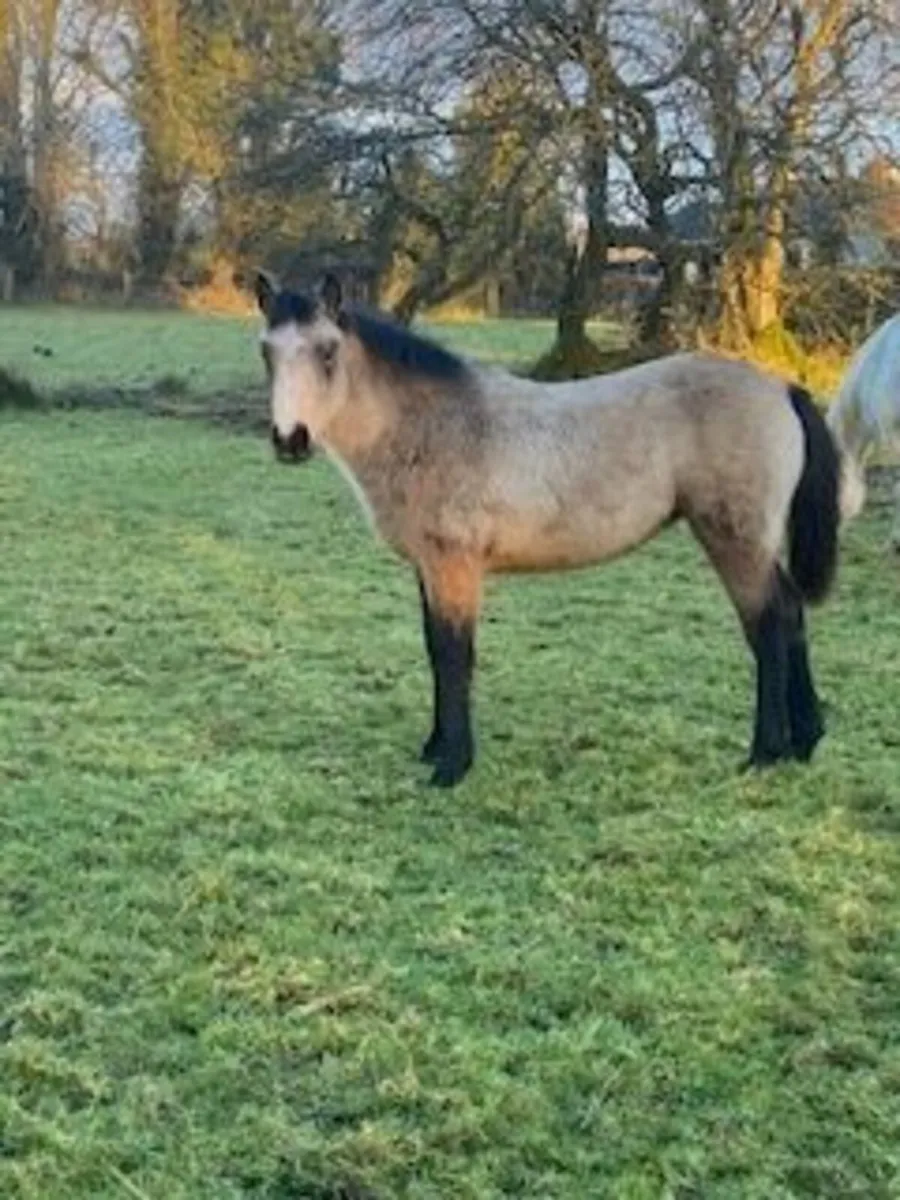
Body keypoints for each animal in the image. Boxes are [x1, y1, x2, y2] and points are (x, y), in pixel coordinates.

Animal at [256, 271, 840, 787]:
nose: (290, 440)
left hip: (735, 540)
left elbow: (453, 654)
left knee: (768, 626)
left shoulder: (454, 564)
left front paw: (452, 766)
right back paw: (805, 741)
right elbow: (433, 649)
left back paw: (765, 753)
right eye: (266, 353)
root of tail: (781, 390)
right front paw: (434, 748)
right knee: (791, 614)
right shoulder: (429, 566)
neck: (433, 426)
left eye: (327, 352)